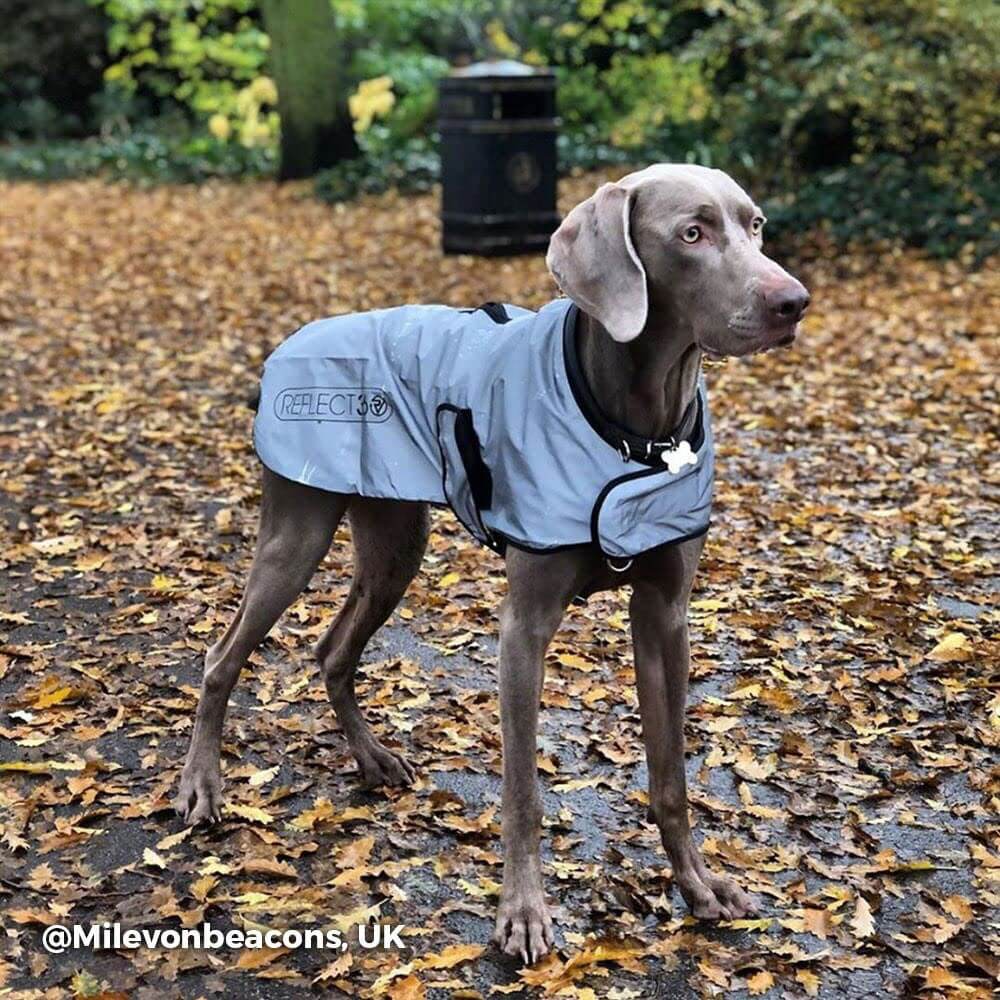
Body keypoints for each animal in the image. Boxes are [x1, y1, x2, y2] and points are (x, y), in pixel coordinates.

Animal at [176, 162, 808, 960]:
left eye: (755, 225)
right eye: (691, 233)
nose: (793, 301)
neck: (636, 428)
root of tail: (287, 346)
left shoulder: (665, 614)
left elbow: (670, 776)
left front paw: (696, 885)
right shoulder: (523, 629)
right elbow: (523, 792)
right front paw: (525, 911)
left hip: (395, 542)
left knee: (331, 651)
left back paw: (372, 760)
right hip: (298, 530)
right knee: (222, 655)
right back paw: (202, 787)